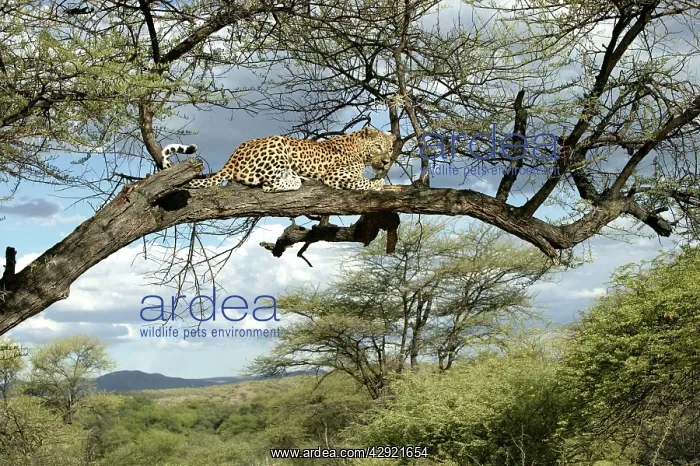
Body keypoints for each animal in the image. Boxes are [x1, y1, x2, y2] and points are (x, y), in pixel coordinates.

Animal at [160, 127, 396, 192]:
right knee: (268, 185)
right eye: (378, 147)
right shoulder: (335, 174)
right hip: (278, 145)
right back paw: (295, 180)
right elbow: (361, 181)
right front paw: (377, 183)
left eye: (391, 148)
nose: (386, 162)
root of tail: (232, 157)